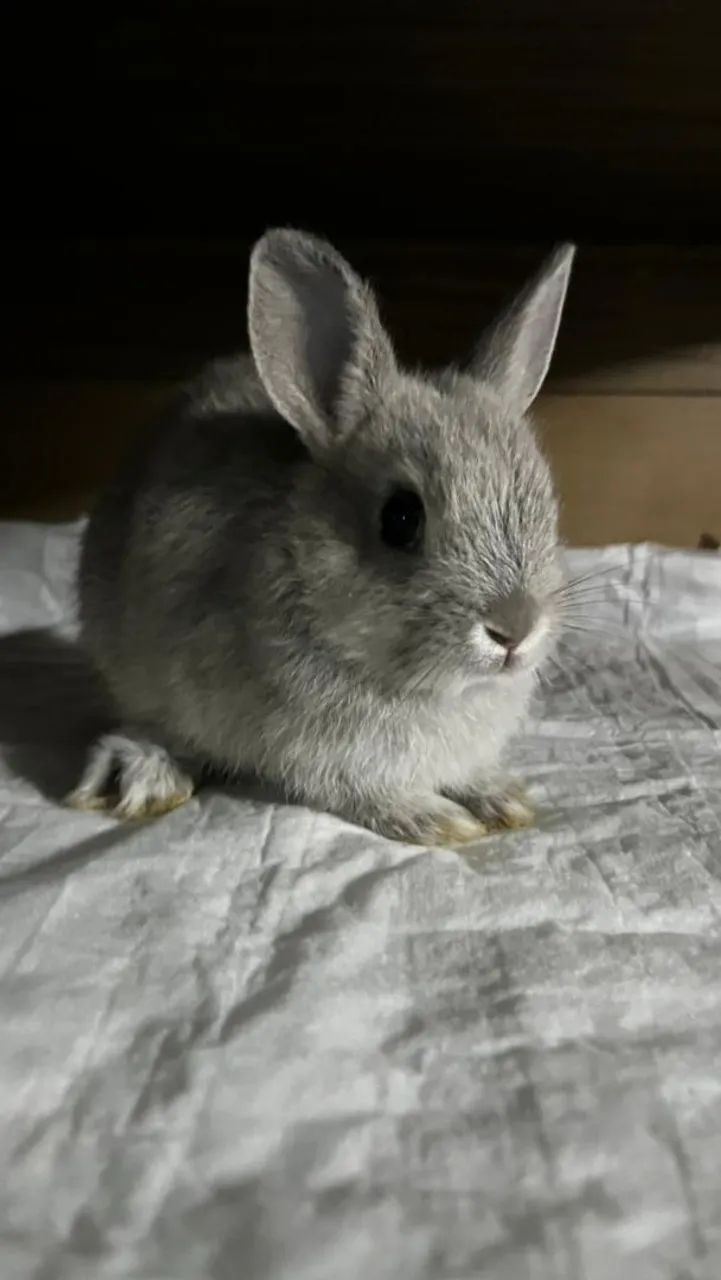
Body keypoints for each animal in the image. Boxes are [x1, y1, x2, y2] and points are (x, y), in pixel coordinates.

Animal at [67, 229, 575, 846]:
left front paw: (500, 797)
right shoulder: (317, 754)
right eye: (401, 519)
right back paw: (143, 773)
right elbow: (356, 788)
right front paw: (431, 818)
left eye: (546, 504)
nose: (515, 630)